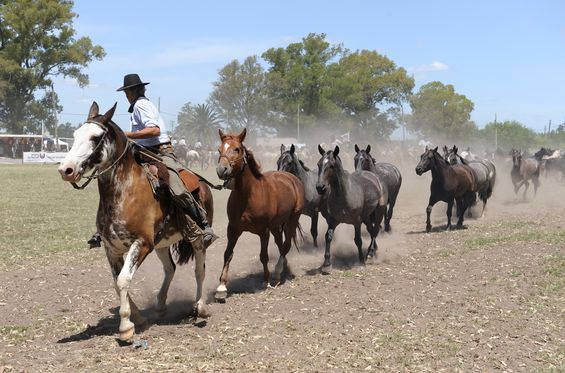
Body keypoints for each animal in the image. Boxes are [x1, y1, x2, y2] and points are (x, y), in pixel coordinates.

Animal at [57, 101, 213, 340]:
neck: (124, 192)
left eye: (95, 137)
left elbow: (123, 280)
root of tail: (202, 183)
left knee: (199, 270)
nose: (66, 170)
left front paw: (125, 328)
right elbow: (116, 282)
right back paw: (161, 305)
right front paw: (137, 318)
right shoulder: (112, 249)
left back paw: (200, 306)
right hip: (162, 243)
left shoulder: (141, 244)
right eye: (75, 135)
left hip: (196, 239)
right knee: (170, 269)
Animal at [215, 128, 304, 300]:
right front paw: (221, 287)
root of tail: (291, 178)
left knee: (286, 245)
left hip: (292, 219)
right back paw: (283, 267)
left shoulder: (264, 231)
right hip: (276, 226)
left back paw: (276, 274)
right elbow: (227, 253)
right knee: (281, 244)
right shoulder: (233, 229)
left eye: (237, 149)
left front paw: (266, 281)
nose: (222, 170)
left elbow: (263, 255)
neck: (248, 195)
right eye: (219, 149)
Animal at [312, 145, 388, 274]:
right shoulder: (333, 220)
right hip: (366, 216)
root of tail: (375, 177)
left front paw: (361, 261)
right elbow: (328, 237)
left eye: (331, 165)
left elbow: (358, 240)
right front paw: (326, 264)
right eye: (318, 164)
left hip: (379, 212)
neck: (344, 194)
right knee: (371, 229)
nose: (320, 187)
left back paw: (370, 254)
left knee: (375, 230)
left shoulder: (356, 222)